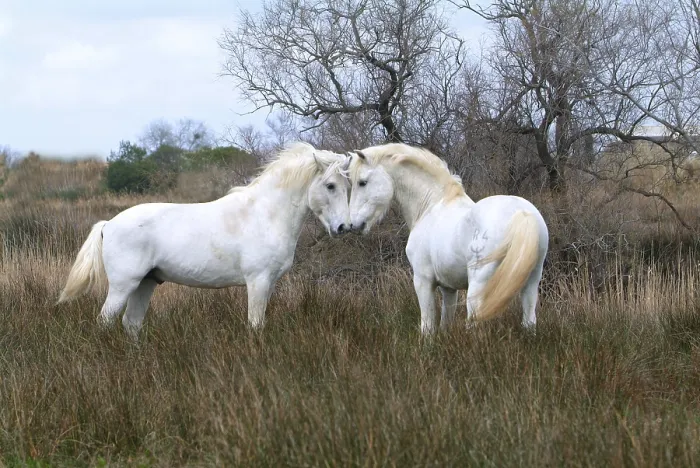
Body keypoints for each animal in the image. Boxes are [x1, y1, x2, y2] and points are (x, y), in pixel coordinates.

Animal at [57, 142, 352, 340]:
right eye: (330, 185)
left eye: (349, 185)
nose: (343, 227)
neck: (264, 213)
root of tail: (109, 224)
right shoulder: (257, 281)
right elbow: (255, 324)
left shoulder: (269, 284)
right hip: (123, 285)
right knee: (105, 321)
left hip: (145, 284)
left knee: (131, 323)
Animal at [346, 143, 549, 335]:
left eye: (362, 182)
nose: (354, 225)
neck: (431, 205)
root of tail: (521, 213)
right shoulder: (449, 288)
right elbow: (445, 322)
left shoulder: (423, 280)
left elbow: (427, 326)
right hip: (531, 283)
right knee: (529, 321)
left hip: (479, 285)